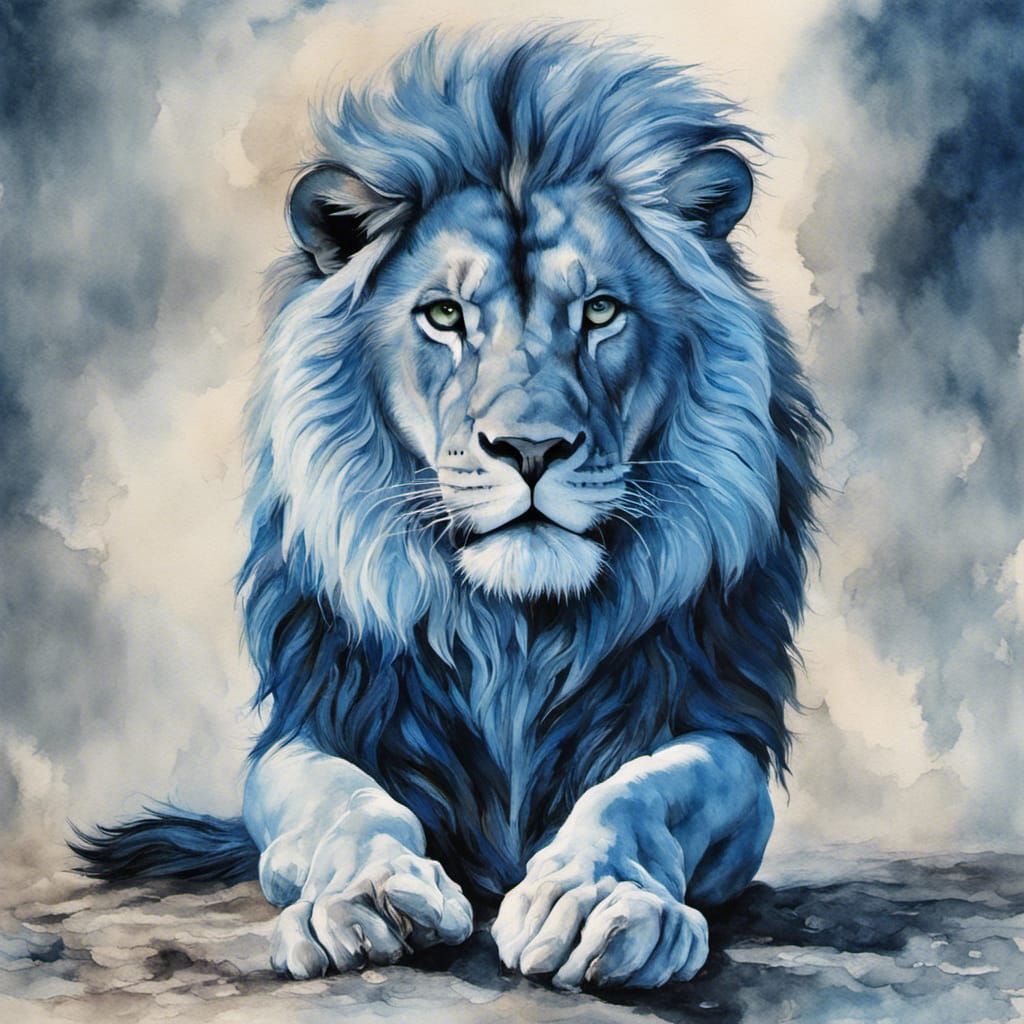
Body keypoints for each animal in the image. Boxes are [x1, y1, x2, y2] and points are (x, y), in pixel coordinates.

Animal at [73, 26, 824, 990]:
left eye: (600, 312)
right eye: (443, 315)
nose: (532, 449)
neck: (516, 634)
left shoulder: (718, 728)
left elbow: (639, 792)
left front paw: (597, 901)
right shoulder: (316, 723)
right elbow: (346, 803)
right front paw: (363, 899)